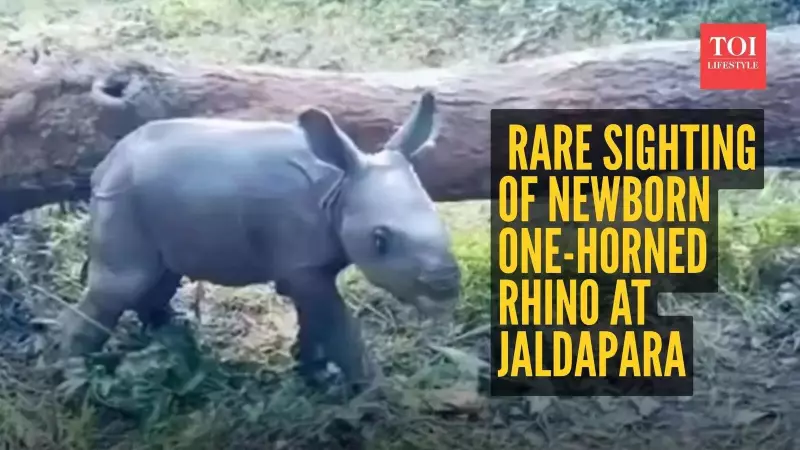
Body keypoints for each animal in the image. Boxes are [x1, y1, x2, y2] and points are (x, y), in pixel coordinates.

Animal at [56, 91, 461, 390]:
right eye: (380, 241)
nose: (445, 287)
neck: (340, 188)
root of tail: (106, 165)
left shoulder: (312, 264)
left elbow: (317, 320)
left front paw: (314, 374)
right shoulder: (303, 264)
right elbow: (338, 325)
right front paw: (373, 392)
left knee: (160, 274)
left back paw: (172, 337)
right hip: (122, 199)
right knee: (121, 283)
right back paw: (71, 377)